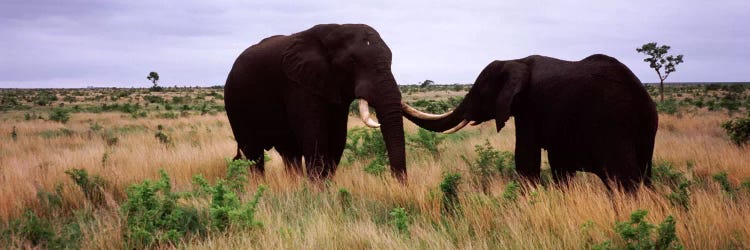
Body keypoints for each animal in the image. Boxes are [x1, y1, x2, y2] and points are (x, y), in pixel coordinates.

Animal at [226, 23, 408, 182]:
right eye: (352, 62)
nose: (398, 185)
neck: (334, 31)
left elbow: (337, 138)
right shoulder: (298, 84)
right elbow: (314, 137)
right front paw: (318, 193)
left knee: (289, 152)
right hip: (235, 103)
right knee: (254, 153)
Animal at [406, 54, 656, 191]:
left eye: (479, 92)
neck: (516, 60)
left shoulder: (530, 107)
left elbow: (526, 159)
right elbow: (558, 164)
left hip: (613, 125)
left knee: (625, 179)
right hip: (645, 130)